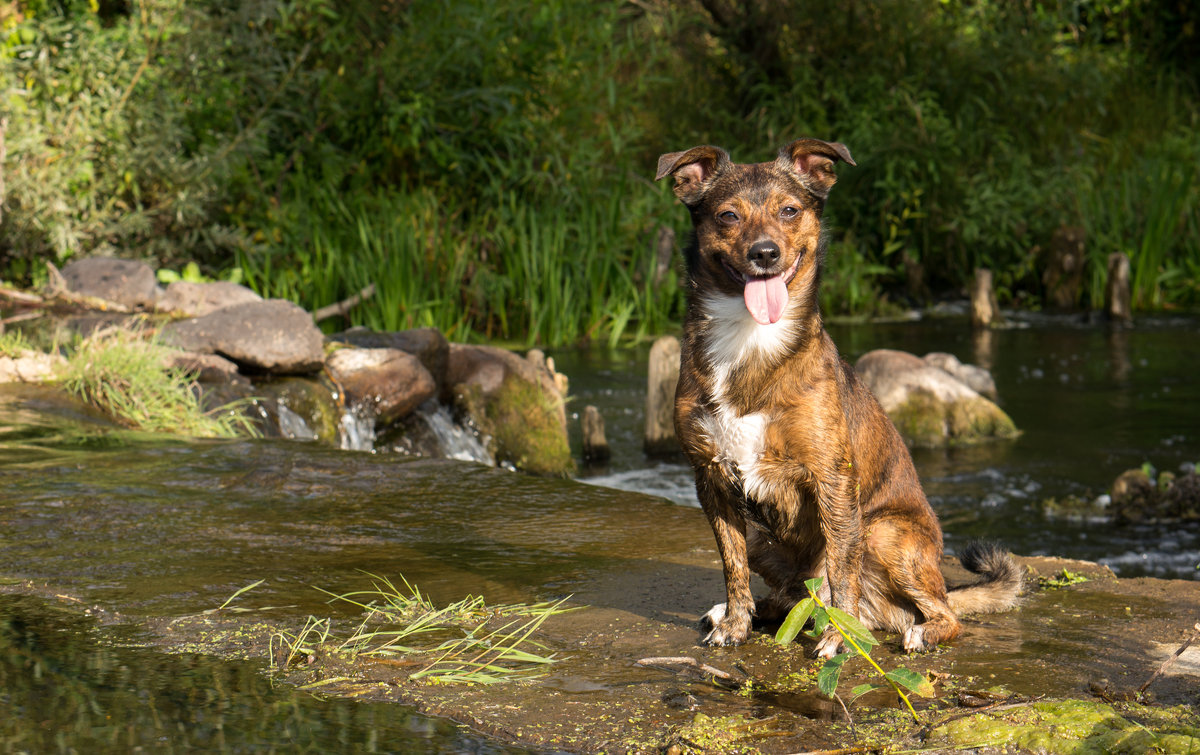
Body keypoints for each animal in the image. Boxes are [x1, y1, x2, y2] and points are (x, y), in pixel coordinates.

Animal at [657, 138, 1022, 657]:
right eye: (728, 216)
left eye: (789, 210)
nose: (765, 253)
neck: (750, 339)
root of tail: (885, 612)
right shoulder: (711, 480)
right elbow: (732, 566)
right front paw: (735, 623)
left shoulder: (832, 480)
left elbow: (840, 569)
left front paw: (838, 637)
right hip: (765, 539)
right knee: (790, 597)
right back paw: (749, 612)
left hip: (883, 532)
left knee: (942, 613)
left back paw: (912, 630)